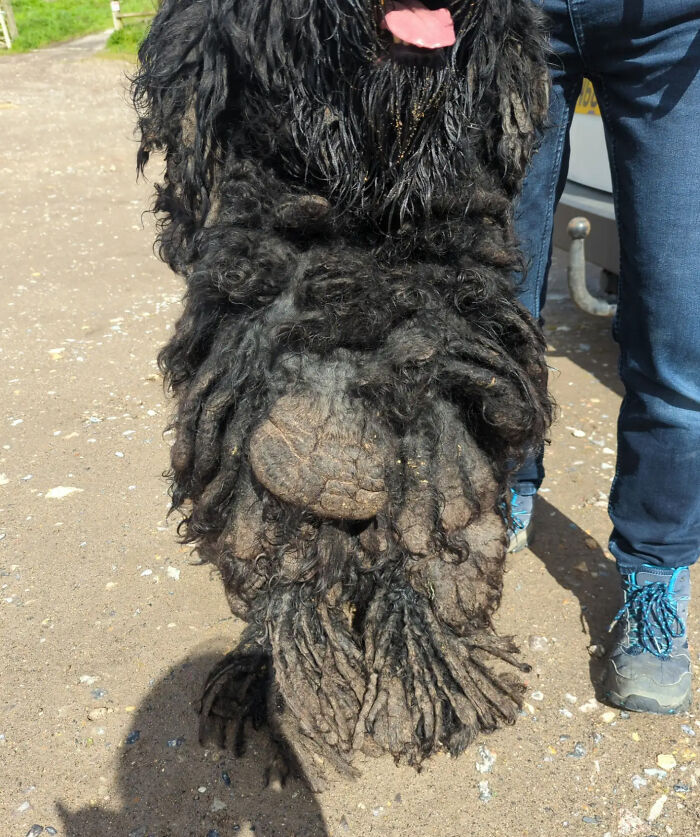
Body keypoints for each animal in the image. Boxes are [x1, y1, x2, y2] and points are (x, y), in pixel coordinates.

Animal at [133, 0, 552, 788]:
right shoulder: (243, 401)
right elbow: (275, 540)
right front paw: (291, 676)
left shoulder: (448, 390)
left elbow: (430, 535)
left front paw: (429, 672)